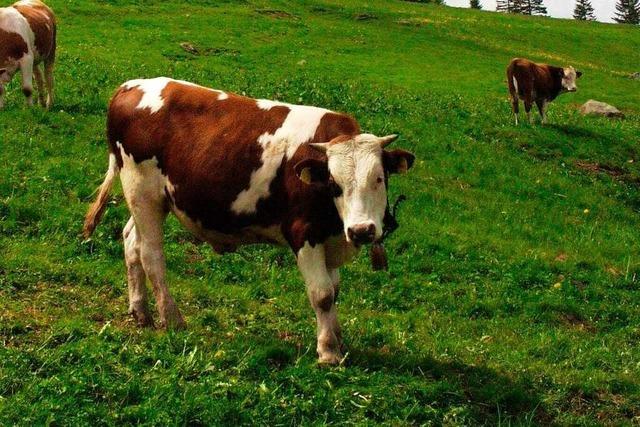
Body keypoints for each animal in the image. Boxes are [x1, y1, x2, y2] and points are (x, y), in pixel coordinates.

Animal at [84, 78, 416, 366]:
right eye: (335, 184)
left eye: (379, 178)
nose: (362, 230)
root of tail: (130, 85)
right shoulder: (303, 233)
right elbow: (321, 294)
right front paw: (328, 351)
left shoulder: (330, 239)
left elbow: (334, 290)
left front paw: (338, 339)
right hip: (142, 190)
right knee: (151, 255)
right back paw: (172, 318)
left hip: (149, 199)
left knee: (131, 241)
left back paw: (140, 310)